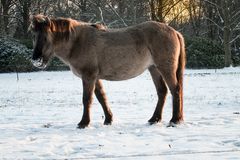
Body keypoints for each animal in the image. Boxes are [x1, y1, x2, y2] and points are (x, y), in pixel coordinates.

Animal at [28, 14, 186, 127]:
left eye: (46, 37)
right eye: (34, 36)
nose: (36, 59)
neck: (78, 42)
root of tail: (174, 32)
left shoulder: (88, 76)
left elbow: (87, 99)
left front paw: (84, 123)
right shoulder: (95, 77)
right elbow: (101, 97)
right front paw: (108, 119)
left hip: (165, 68)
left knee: (175, 90)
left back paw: (174, 120)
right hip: (154, 69)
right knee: (162, 92)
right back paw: (154, 119)